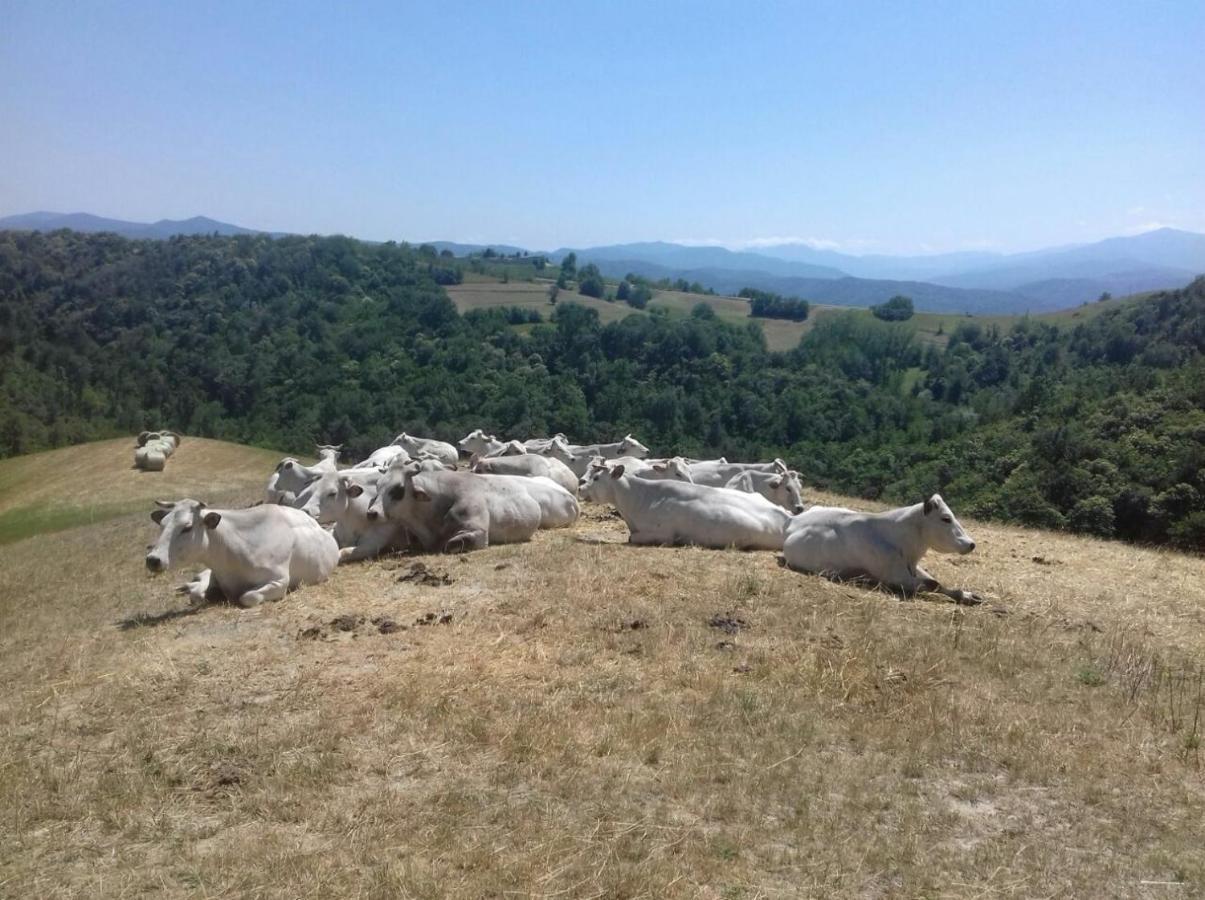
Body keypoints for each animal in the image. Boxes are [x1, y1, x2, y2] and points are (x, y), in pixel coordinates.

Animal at [150, 498, 342, 604]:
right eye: (162, 524)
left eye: (187, 528)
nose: (152, 559)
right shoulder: (217, 574)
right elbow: (197, 594)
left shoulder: (280, 581)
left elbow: (247, 597)